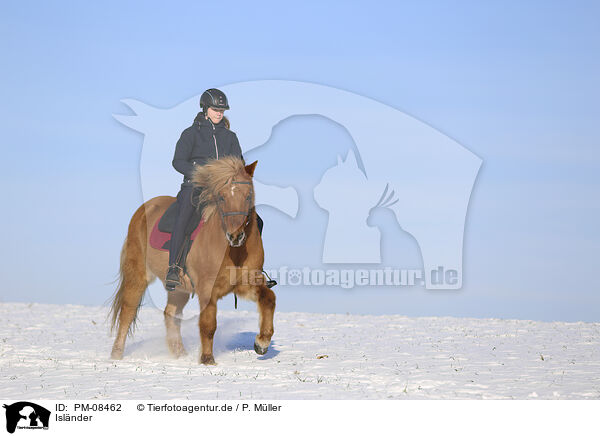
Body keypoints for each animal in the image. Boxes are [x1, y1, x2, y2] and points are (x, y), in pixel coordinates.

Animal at [109, 157, 276, 364]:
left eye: (248, 196)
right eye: (221, 197)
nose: (235, 236)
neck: (233, 251)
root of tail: (143, 209)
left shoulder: (245, 283)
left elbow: (269, 298)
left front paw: (262, 343)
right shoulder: (207, 289)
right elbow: (208, 324)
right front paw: (207, 360)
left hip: (179, 288)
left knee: (170, 314)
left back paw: (180, 354)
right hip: (138, 275)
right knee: (127, 312)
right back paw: (116, 355)